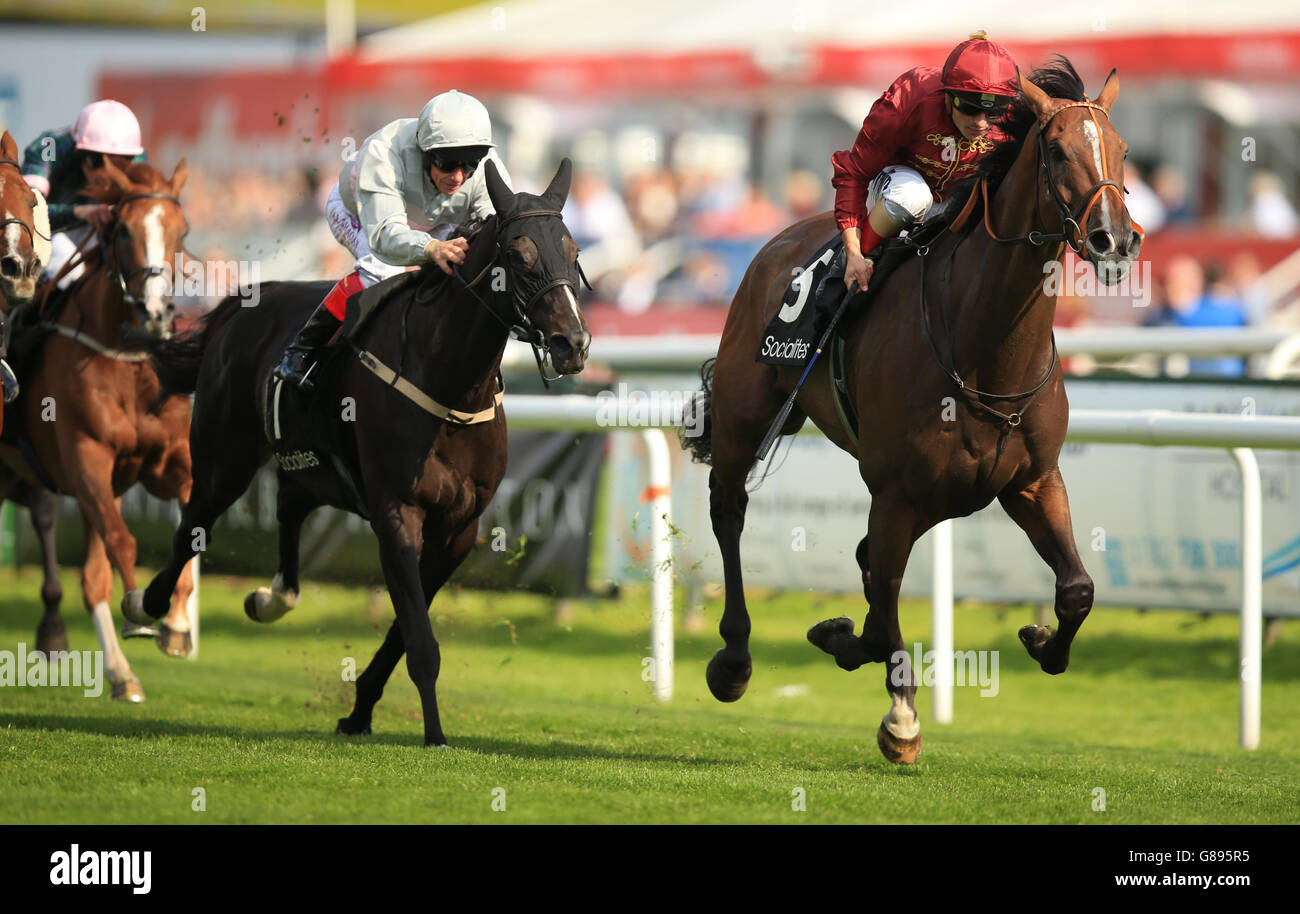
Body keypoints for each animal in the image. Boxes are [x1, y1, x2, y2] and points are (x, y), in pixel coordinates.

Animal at [0, 157, 195, 702]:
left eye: (182, 231)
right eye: (124, 229)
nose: (155, 314)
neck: (126, 360)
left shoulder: (169, 462)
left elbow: (188, 533)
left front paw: (177, 627)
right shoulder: (88, 459)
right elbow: (122, 544)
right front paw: (141, 611)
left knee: (88, 573)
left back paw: (114, 669)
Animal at [686, 59, 1144, 764]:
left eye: (1121, 150)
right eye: (1057, 150)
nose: (1114, 239)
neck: (983, 350)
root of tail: (778, 239)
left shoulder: (1031, 481)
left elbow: (1077, 589)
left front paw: (1041, 641)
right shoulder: (896, 491)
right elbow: (880, 618)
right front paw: (894, 710)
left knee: (862, 557)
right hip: (745, 412)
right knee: (729, 508)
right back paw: (733, 659)